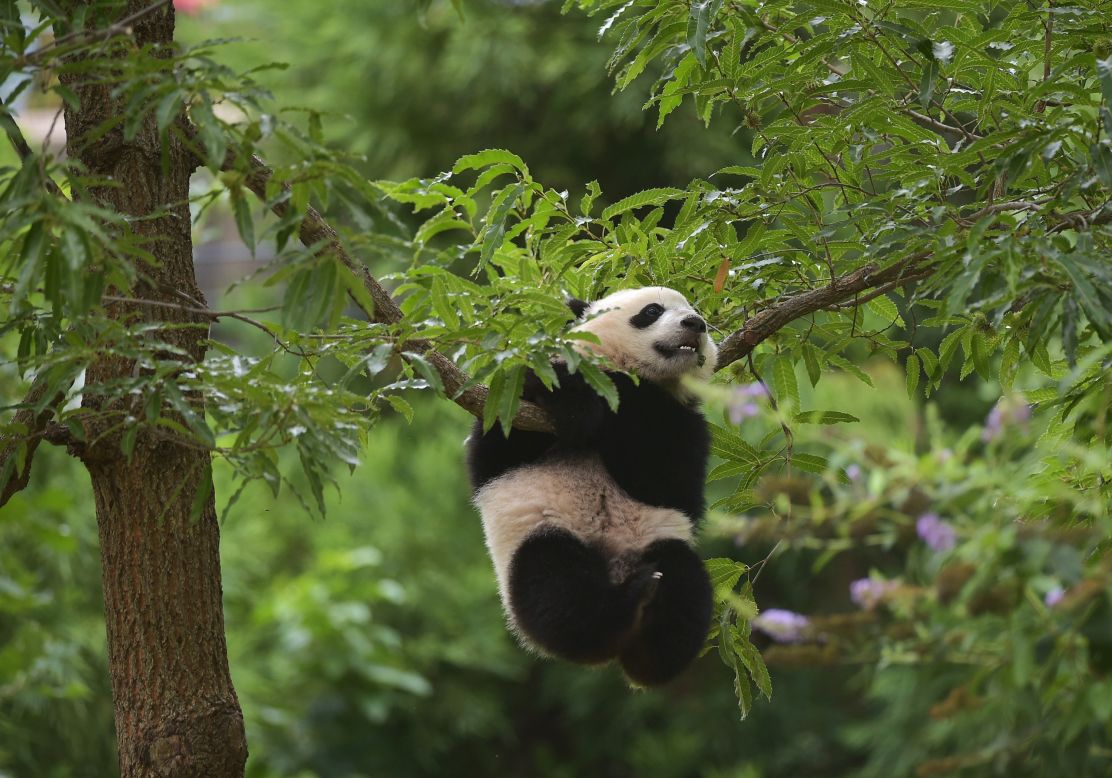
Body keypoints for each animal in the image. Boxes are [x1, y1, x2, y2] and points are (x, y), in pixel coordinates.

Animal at [467, 286, 711, 684]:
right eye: (652, 311)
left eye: (695, 310)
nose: (695, 323)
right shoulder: (516, 399)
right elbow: (504, 442)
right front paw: (575, 403)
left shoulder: (685, 424)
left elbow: (666, 481)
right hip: (540, 532)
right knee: (555, 587)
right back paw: (622, 608)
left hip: (656, 540)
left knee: (685, 582)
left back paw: (652, 652)